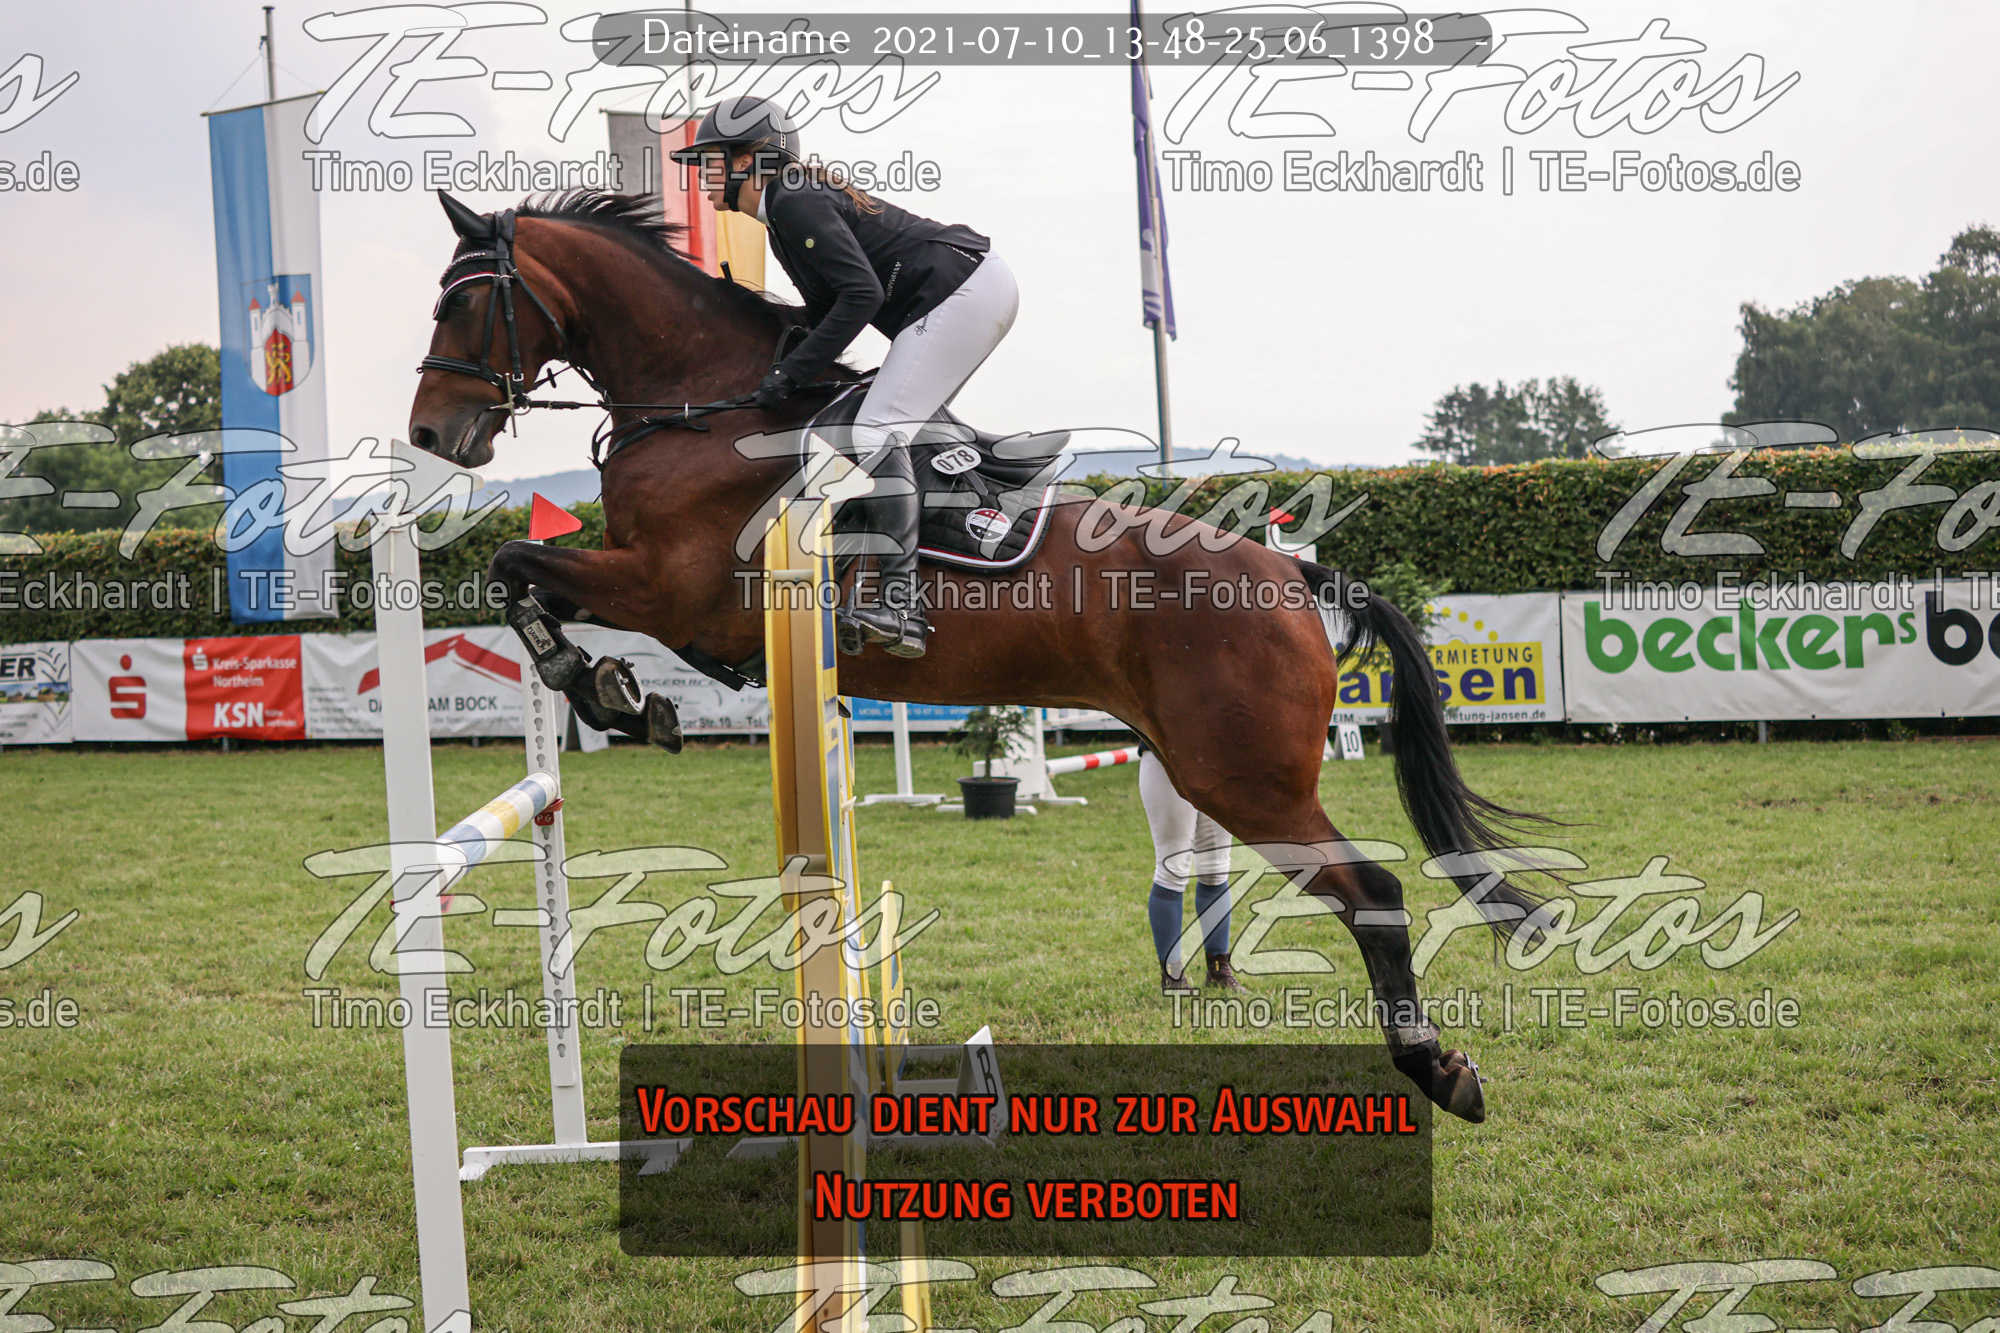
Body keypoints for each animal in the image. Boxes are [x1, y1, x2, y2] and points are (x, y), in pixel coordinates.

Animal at [406, 189, 1555, 1123]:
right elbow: (521, 575)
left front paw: (601, 684)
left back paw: (1440, 1071)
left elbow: (513, 563)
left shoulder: (671, 589)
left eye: (459, 304)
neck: (704, 405)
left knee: (1375, 892)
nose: (431, 434)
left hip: (1242, 777)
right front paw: (614, 691)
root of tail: (1284, 573)